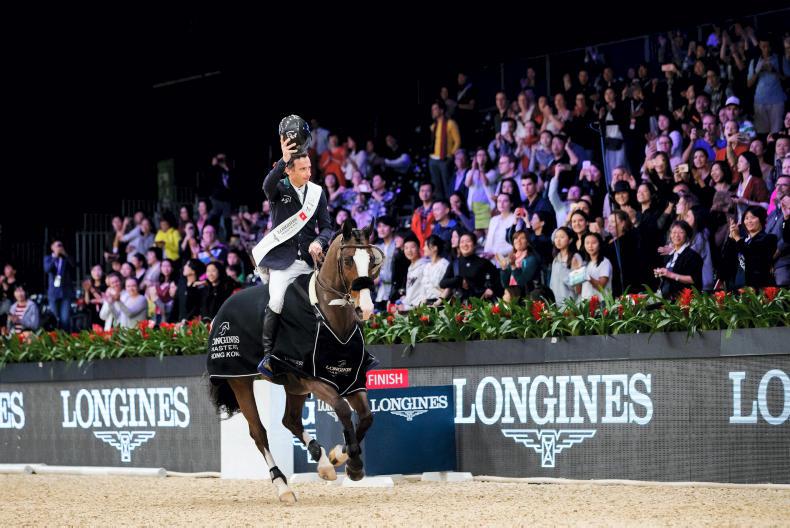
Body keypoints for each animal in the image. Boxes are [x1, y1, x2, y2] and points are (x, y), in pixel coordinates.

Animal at [206, 222, 386, 504]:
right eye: (347, 260)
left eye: (371, 260)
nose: (365, 309)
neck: (329, 316)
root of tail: (223, 308)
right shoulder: (315, 379)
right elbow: (342, 409)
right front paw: (353, 464)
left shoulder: (351, 379)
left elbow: (367, 417)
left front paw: (340, 457)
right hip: (241, 382)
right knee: (259, 433)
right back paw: (283, 487)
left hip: (294, 385)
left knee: (290, 420)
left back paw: (322, 463)